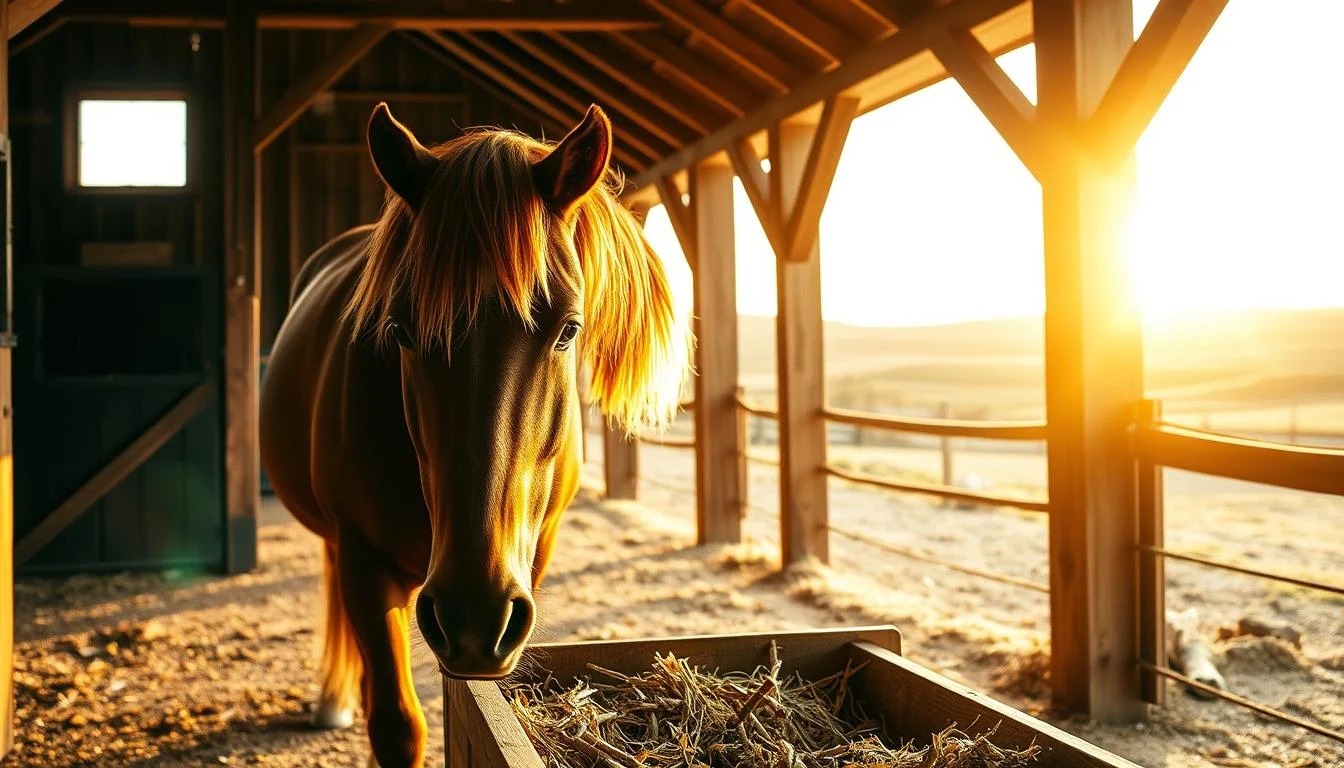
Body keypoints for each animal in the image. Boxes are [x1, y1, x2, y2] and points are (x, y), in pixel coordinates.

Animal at [259, 102, 691, 767]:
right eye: (400, 330)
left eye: (568, 330)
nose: (473, 612)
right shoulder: (366, 561)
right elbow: (398, 724)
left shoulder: (527, 565)